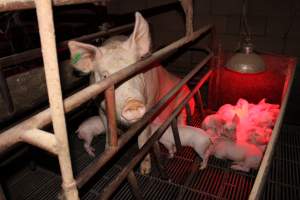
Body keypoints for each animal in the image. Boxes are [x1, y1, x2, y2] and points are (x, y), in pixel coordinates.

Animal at [67, 12, 195, 174]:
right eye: (105, 76)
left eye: (136, 71)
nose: (132, 104)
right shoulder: (100, 108)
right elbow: (108, 131)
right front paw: (106, 153)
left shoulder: (149, 106)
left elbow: (143, 139)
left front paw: (145, 171)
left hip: (183, 98)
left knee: (182, 116)